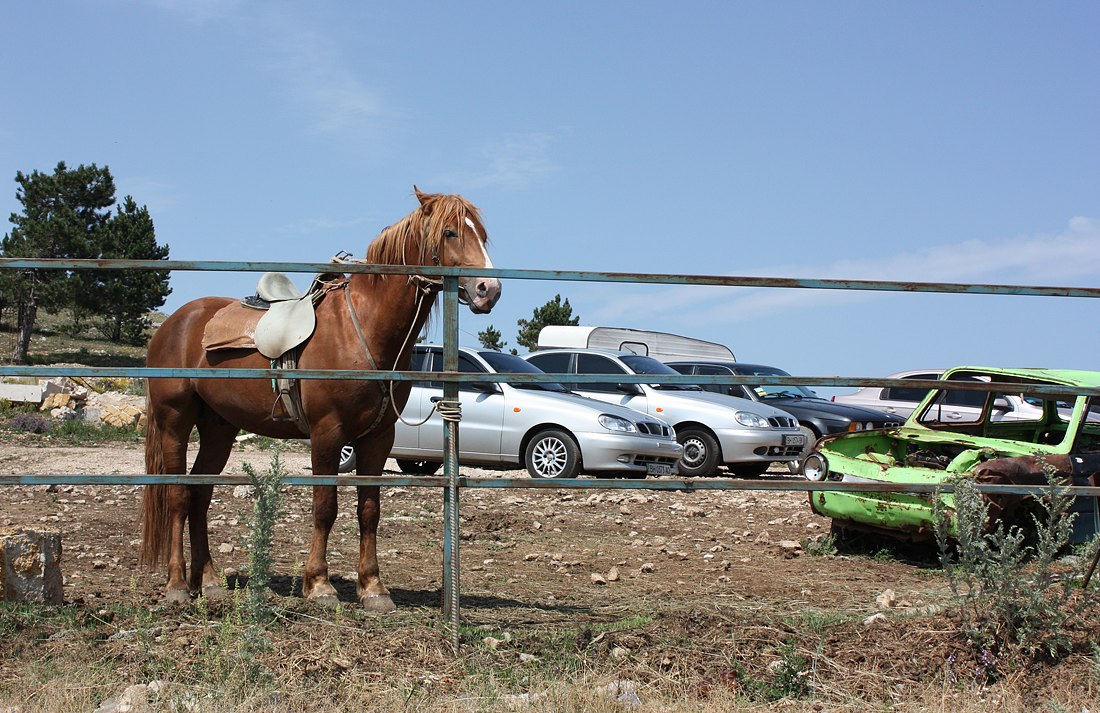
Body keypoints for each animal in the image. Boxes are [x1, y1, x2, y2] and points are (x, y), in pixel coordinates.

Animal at [138, 188, 503, 607]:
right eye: (450, 232)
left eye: (483, 235)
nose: (489, 290)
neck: (362, 330)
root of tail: (174, 323)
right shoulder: (327, 433)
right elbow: (325, 506)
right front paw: (319, 584)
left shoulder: (378, 437)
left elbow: (369, 509)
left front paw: (373, 588)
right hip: (175, 422)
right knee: (179, 495)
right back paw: (178, 585)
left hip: (218, 429)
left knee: (201, 494)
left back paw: (210, 581)